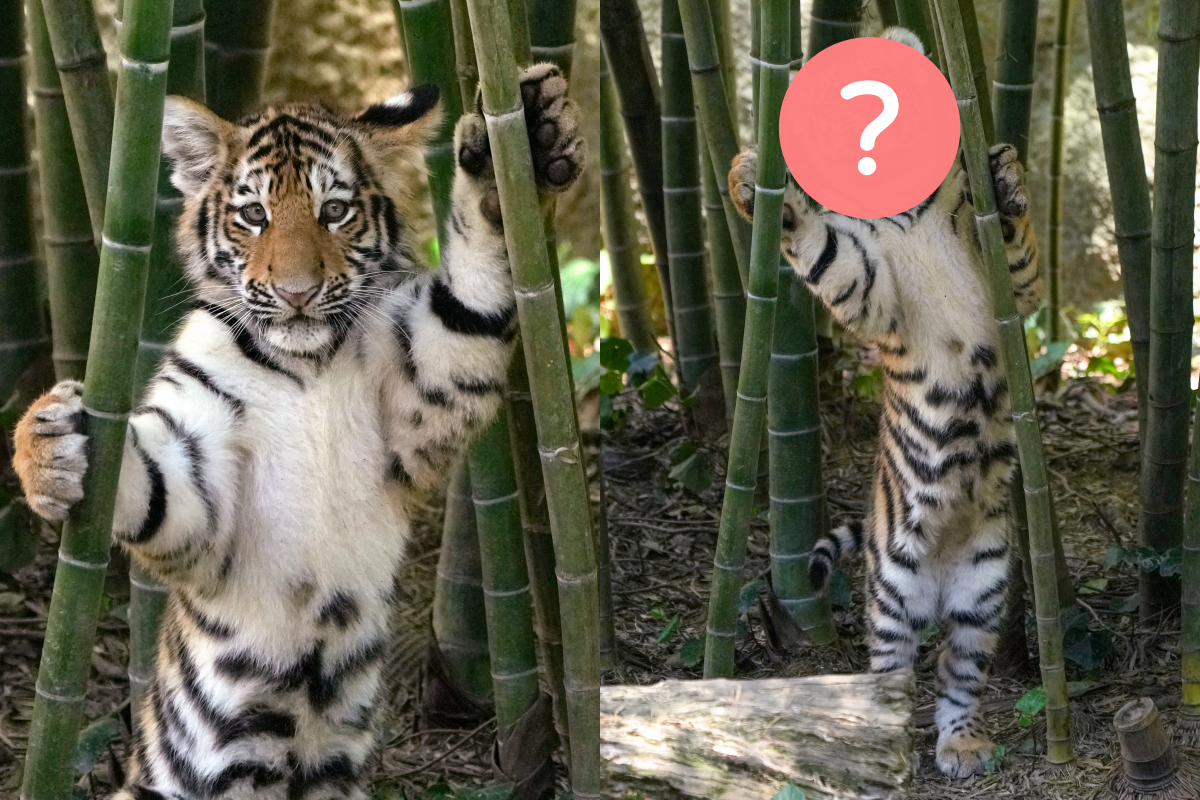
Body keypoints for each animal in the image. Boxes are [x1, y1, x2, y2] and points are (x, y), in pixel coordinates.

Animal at [12, 63, 584, 800]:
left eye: (333, 211)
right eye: (253, 215)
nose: (296, 292)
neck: (305, 363)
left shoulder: (425, 377)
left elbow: (473, 291)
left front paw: (524, 138)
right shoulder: (200, 473)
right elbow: (155, 484)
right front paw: (51, 445)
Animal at [727, 28, 1044, 779]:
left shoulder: (1010, 286)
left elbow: (1018, 252)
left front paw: (1007, 176)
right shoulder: (873, 294)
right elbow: (824, 253)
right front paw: (753, 183)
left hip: (984, 592)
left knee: (958, 675)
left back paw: (962, 745)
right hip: (893, 588)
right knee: (890, 671)